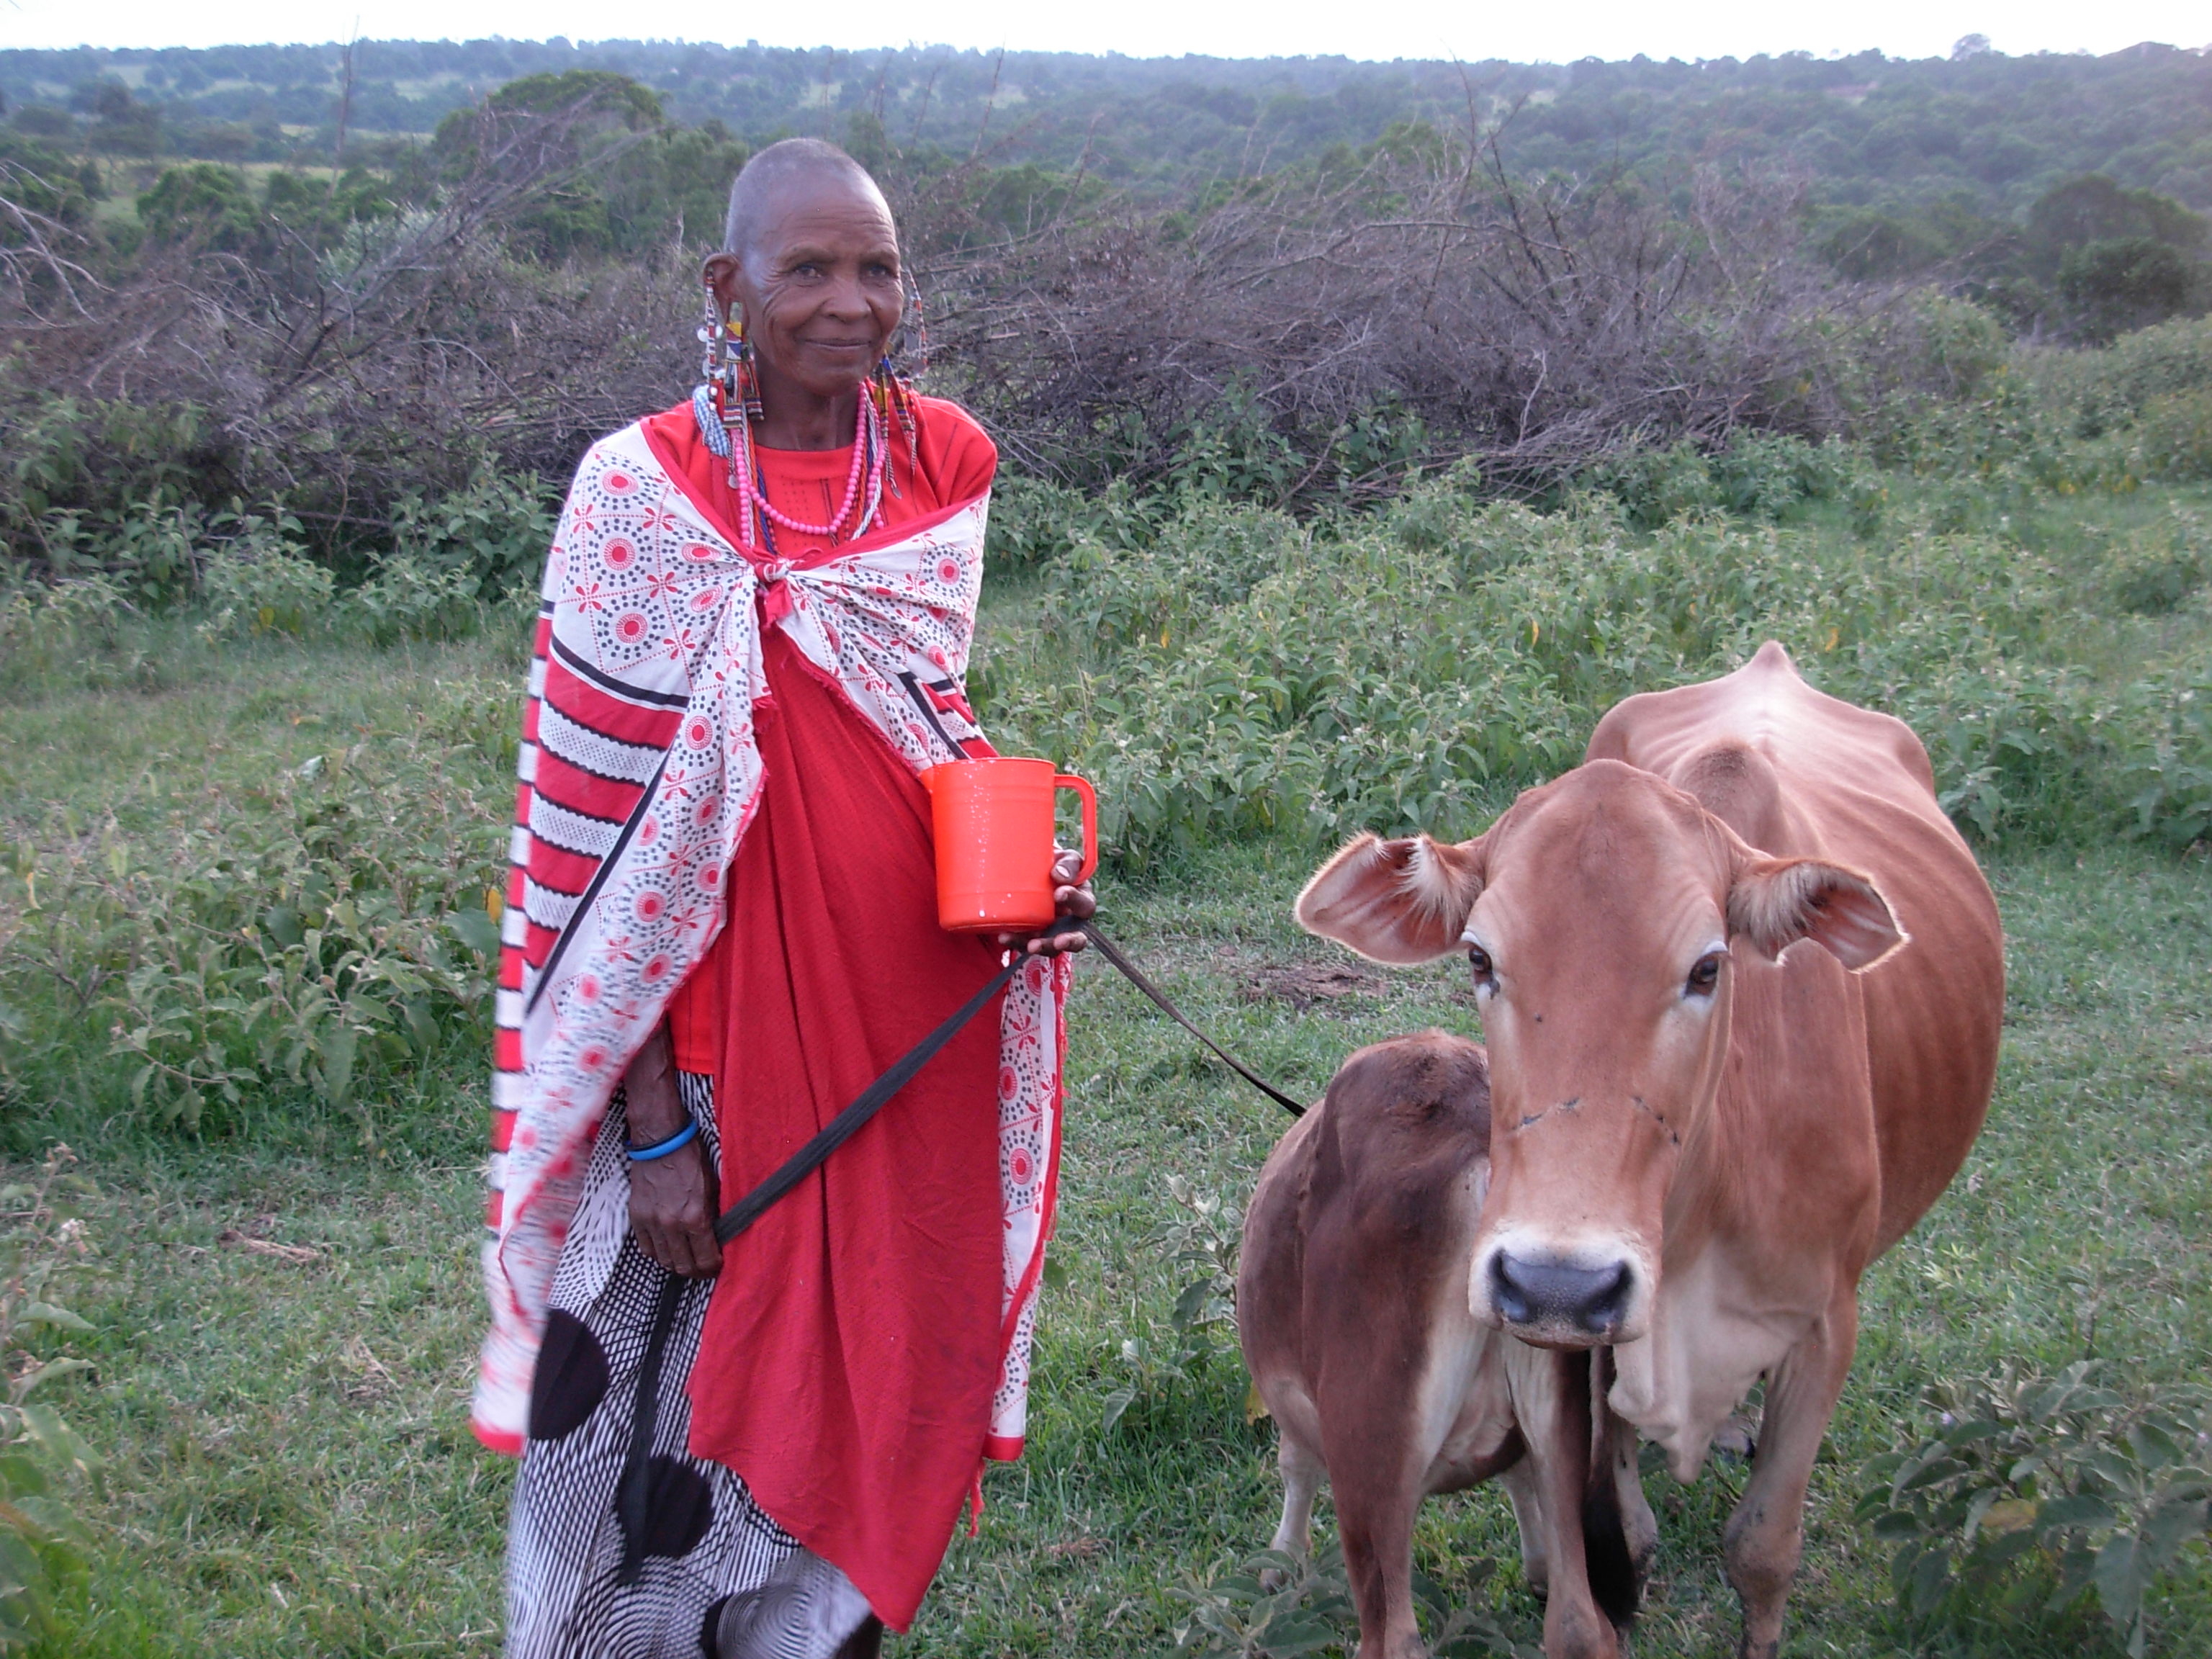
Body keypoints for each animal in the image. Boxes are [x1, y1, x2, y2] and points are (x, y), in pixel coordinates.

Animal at [1240, 1031, 1654, 1659]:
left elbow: (1295, 1465)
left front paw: (1279, 1565)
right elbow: (1521, 1478)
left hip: (1371, 1460)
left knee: (1393, 1638)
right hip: (1558, 1414)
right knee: (1580, 1625)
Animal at [1288, 642, 2005, 1659]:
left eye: (1708, 967)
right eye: (1479, 958)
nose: (1555, 1281)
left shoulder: (1828, 1325)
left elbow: (1762, 1550)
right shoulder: (1590, 1346)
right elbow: (1623, 1538)